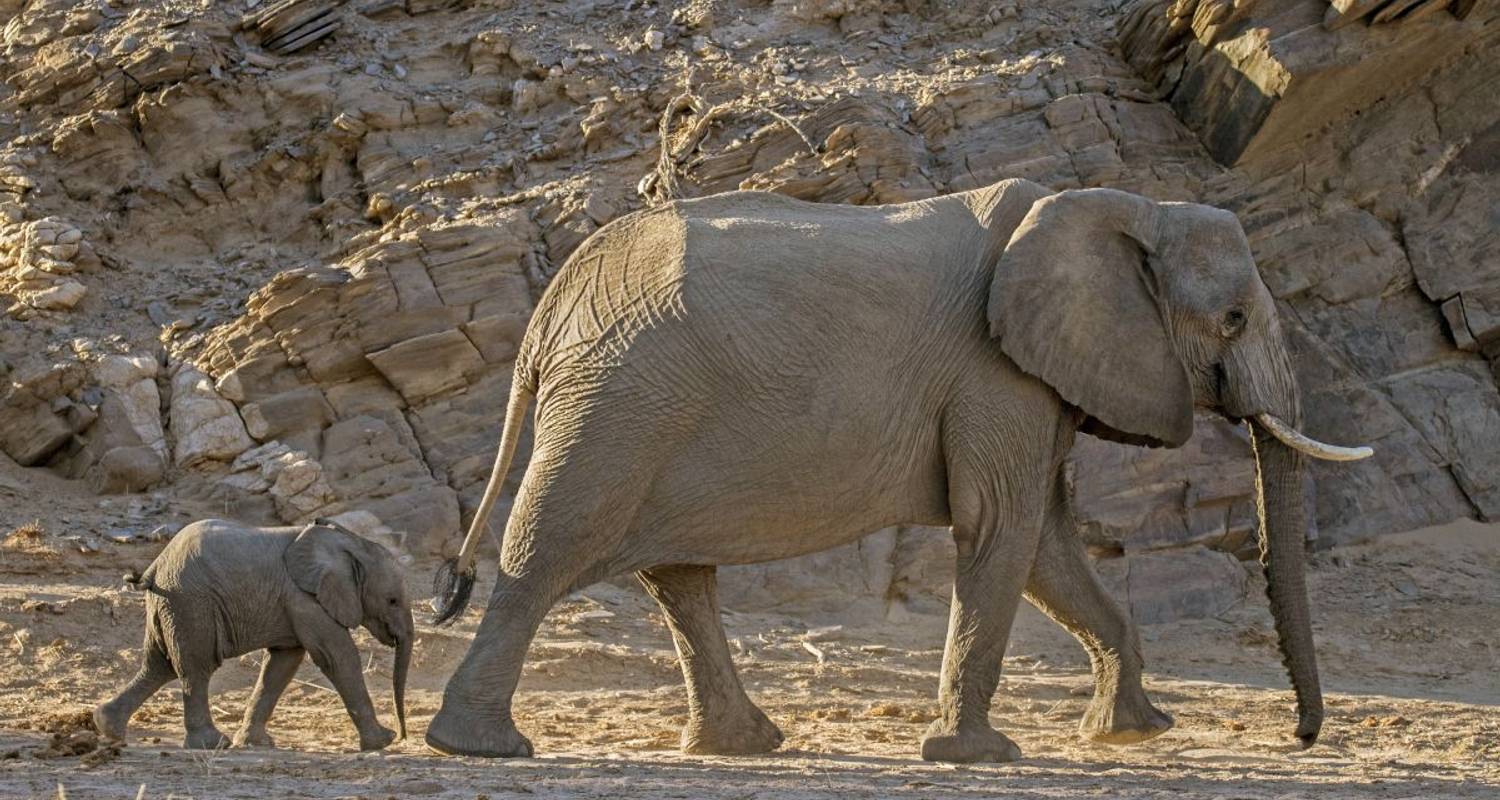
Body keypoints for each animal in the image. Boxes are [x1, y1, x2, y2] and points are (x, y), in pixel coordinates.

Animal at [94, 516, 414, 747]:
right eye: (392, 600)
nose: (402, 735)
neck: (353, 543)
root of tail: (156, 566)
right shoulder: (304, 598)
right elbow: (338, 657)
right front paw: (382, 743)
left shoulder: (295, 603)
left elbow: (282, 664)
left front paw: (254, 743)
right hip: (190, 602)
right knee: (195, 668)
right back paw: (212, 744)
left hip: (170, 605)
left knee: (159, 665)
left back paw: (106, 727)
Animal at [426, 179, 1374, 762]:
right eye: (1233, 318)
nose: (1299, 738)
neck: (1124, 203)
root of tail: (551, 310)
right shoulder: (994, 373)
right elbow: (1003, 528)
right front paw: (982, 757)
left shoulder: (1030, 380)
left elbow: (1047, 547)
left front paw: (1133, 734)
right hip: (621, 403)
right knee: (548, 550)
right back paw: (478, 747)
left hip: (640, 405)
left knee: (678, 576)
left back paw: (745, 745)